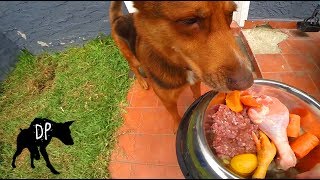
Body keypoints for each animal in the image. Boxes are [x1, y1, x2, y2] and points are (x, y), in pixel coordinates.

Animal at [109, 1, 254, 133]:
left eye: (231, 13)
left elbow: (197, 95)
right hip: (132, 58)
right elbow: (174, 114)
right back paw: (142, 81)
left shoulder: (195, 83)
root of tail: (119, 18)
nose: (247, 83)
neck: (182, 66)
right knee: (134, 67)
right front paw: (177, 125)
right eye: (190, 20)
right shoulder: (167, 100)